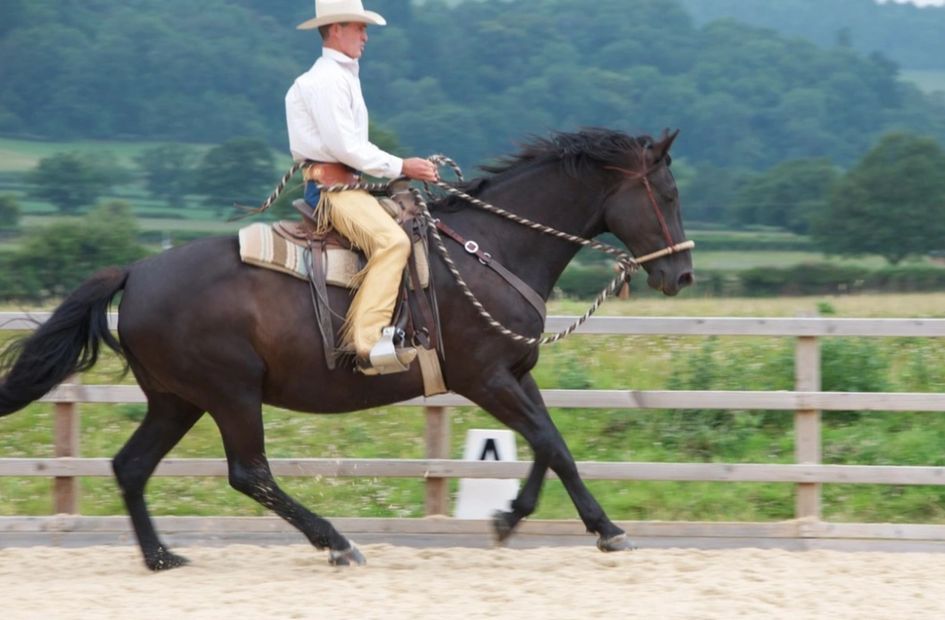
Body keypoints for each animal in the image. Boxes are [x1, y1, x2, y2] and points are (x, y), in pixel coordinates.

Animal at [1, 128, 692, 568]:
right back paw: (334, 542)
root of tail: (137, 272)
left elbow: (552, 446)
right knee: (249, 473)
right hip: (230, 395)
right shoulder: (486, 378)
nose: (681, 275)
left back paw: (162, 557)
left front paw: (527, 519)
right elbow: (550, 442)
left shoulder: (517, 373)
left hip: (177, 400)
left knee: (132, 466)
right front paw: (590, 528)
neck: (491, 248)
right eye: (669, 194)